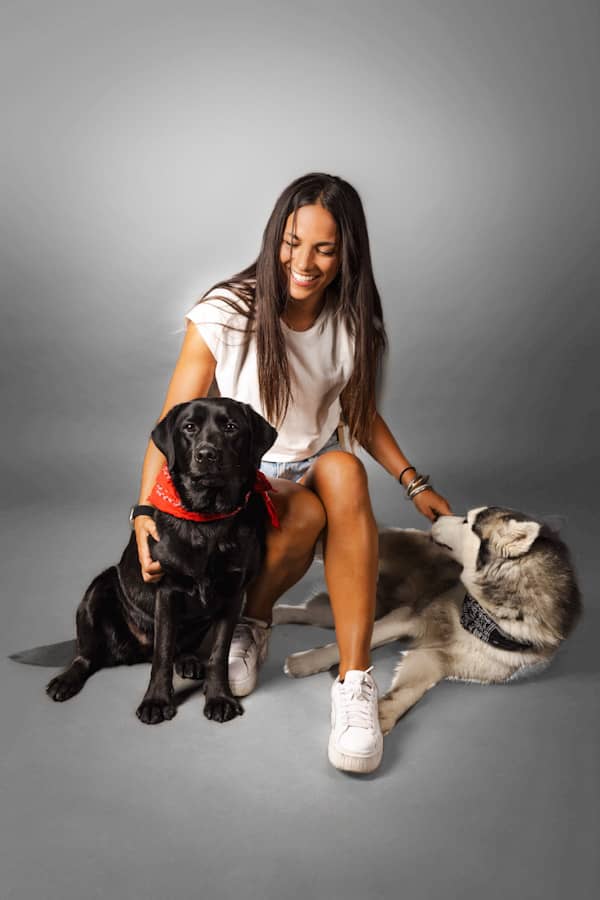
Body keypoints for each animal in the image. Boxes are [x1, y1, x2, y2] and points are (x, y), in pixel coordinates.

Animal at [45, 400, 278, 724]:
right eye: (189, 427)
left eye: (231, 427)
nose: (206, 454)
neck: (207, 520)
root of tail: (131, 651)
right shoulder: (167, 590)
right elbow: (163, 652)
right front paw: (155, 701)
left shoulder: (233, 593)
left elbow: (219, 653)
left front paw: (219, 698)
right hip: (98, 590)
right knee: (86, 655)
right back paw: (66, 680)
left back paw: (190, 661)